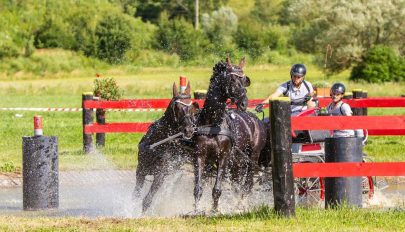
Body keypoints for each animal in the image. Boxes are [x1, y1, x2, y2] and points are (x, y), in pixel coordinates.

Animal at [133, 81, 198, 212]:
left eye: (192, 108)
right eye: (177, 107)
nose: (189, 130)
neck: (156, 144)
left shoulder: (160, 175)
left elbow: (147, 200)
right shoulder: (140, 170)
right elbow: (135, 195)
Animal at [191, 57, 266, 212]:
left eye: (244, 80)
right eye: (232, 79)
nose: (244, 103)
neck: (212, 124)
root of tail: (257, 120)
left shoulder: (223, 157)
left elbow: (217, 189)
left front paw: (214, 210)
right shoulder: (200, 156)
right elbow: (198, 187)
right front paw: (197, 209)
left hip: (252, 157)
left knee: (248, 183)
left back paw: (241, 204)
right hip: (236, 162)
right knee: (236, 184)